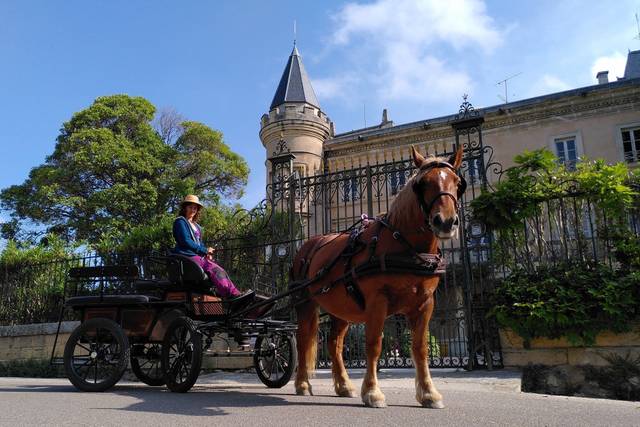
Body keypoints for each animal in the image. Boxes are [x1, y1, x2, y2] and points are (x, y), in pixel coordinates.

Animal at [290, 144, 464, 408]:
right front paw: (372, 392)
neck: (406, 245)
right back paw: (302, 384)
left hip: (341, 307)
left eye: (457, 182)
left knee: (334, 344)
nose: (445, 222)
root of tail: (308, 245)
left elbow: (420, 347)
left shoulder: (425, 303)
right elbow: (374, 344)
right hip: (305, 302)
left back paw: (343, 385)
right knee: (303, 340)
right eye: (423, 183)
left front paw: (428, 393)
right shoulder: (377, 301)